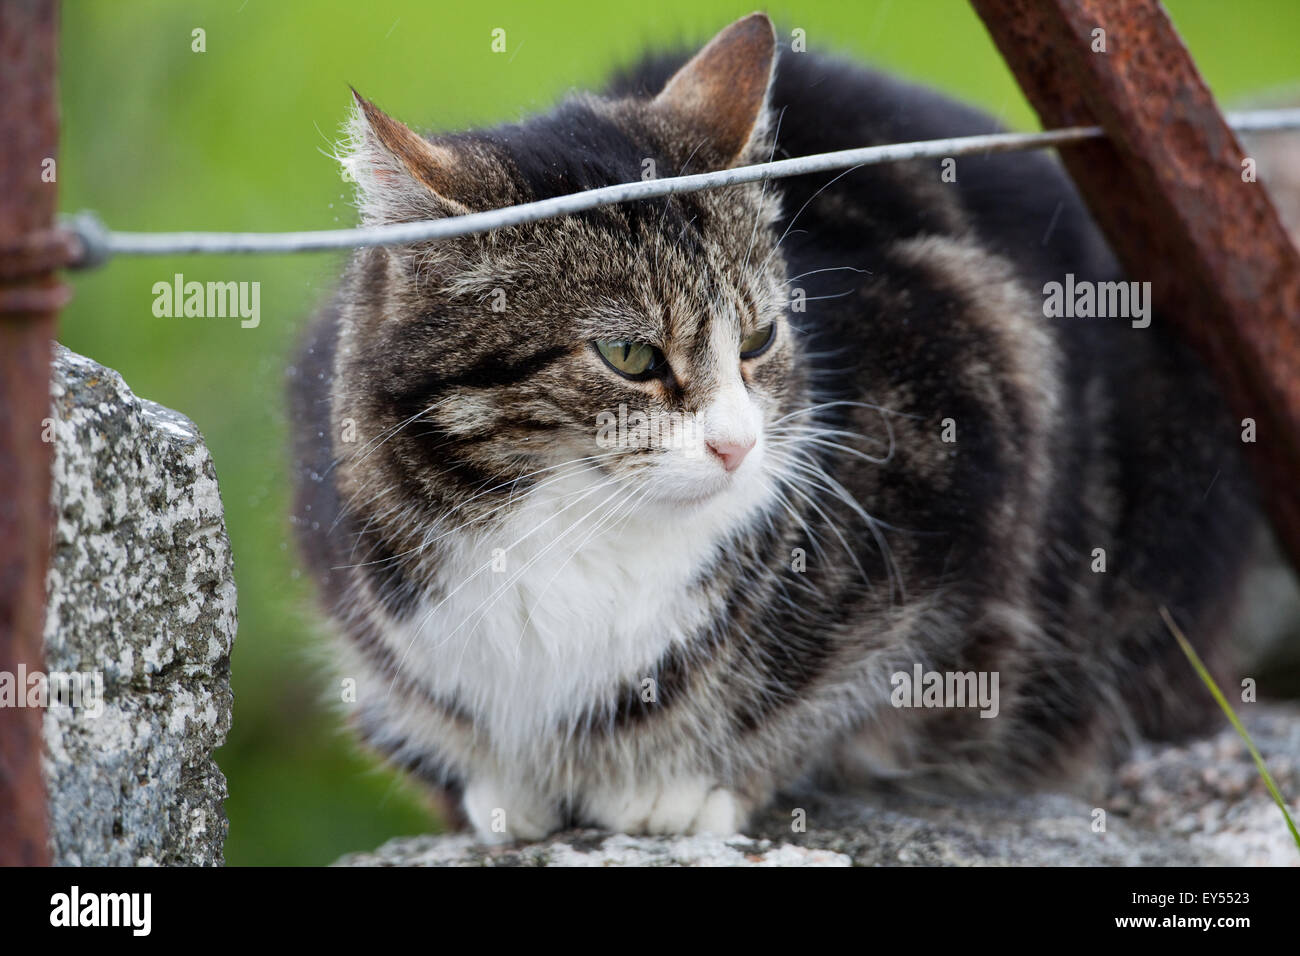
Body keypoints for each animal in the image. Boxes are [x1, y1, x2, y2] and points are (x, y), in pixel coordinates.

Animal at [289, 11, 1253, 842]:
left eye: (759, 340)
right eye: (629, 355)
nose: (737, 444)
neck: (569, 531)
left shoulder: (971, 434)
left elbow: (847, 691)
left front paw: (685, 782)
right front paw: (498, 787)